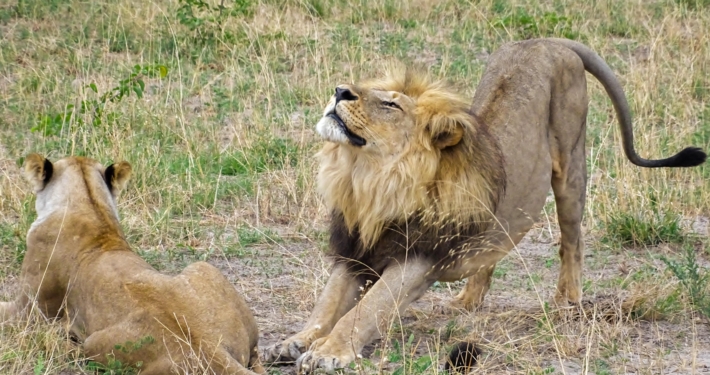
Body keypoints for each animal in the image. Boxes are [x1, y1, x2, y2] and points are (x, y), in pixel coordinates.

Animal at [264, 38, 708, 374]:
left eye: (391, 105)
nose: (340, 90)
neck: (370, 179)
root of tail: (547, 40)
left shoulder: (416, 258)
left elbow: (364, 311)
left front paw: (326, 352)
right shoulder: (355, 249)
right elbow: (327, 304)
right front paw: (293, 341)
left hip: (571, 165)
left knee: (573, 240)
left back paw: (567, 302)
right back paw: (467, 300)